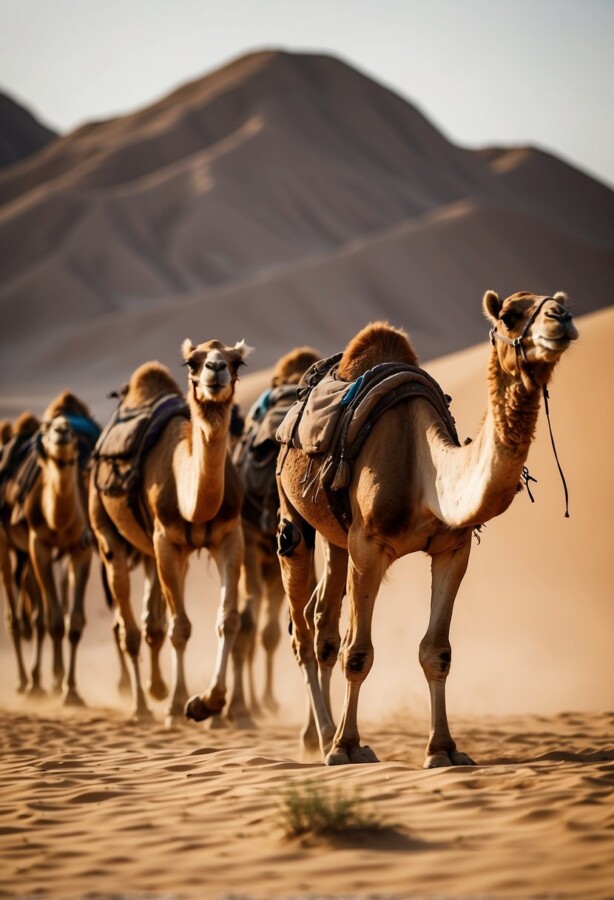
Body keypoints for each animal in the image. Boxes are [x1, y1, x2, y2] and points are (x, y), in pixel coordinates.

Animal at [89, 338, 251, 724]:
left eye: (237, 362)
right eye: (192, 362)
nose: (215, 370)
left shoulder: (229, 537)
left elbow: (228, 620)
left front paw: (207, 702)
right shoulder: (167, 541)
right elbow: (181, 627)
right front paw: (178, 707)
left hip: (152, 553)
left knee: (151, 623)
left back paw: (157, 688)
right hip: (106, 531)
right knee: (128, 628)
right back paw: (142, 706)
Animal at [276, 291, 578, 766]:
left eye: (560, 302)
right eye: (510, 315)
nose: (560, 319)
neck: (424, 473)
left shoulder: (453, 548)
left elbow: (437, 652)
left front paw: (444, 750)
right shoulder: (369, 546)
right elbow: (357, 653)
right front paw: (348, 747)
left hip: (335, 537)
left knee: (321, 618)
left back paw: (320, 735)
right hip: (293, 514)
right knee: (304, 629)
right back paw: (324, 737)